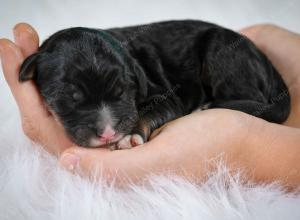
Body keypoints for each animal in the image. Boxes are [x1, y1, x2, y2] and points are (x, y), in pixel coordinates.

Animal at [18, 19, 290, 150]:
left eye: (122, 93)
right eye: (70, 98)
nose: (108, 133)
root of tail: (265, 59)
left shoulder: (165, 95)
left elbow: (148, 111)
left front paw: (130, 135)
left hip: (223, 50)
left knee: (257, 103)